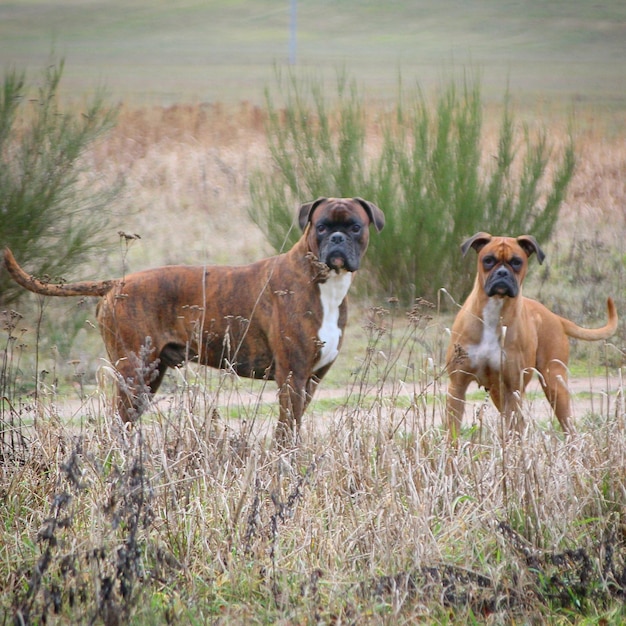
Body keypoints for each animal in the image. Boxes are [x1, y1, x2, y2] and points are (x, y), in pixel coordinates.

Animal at [4, 196, 382, 444]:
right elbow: (287, 429)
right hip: (133, 373)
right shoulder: (292, 376)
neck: (323, 283)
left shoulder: (311, 378)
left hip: (148, 377)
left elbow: (297, 422)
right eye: (321, 227)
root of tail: (115, 284)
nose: (337, 239)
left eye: (355, 226)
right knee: (116, 424)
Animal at [444, 232, 616, 436]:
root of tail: (555, 317)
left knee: (565, 426)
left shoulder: (513, 389)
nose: (502, 273)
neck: (495, 310)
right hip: (498, 392)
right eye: (488, 260)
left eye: (517, 262)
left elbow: (513, 432)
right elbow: (452, 433)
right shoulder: (457, 387)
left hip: (554, 385)